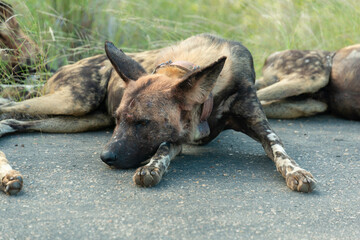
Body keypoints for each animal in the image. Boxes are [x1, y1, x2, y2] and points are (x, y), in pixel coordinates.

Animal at [0, 34, 316, 195]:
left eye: (143, 122)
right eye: (120, 119)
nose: (106, 157)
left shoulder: (262, 129)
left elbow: (280, 153)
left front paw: (297, 171)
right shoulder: (177, 136)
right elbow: (162, 150)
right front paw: (151, 168)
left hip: (80, 118)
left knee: (13, 122)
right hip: (72, 103)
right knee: (6, 111)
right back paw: (8, 175)